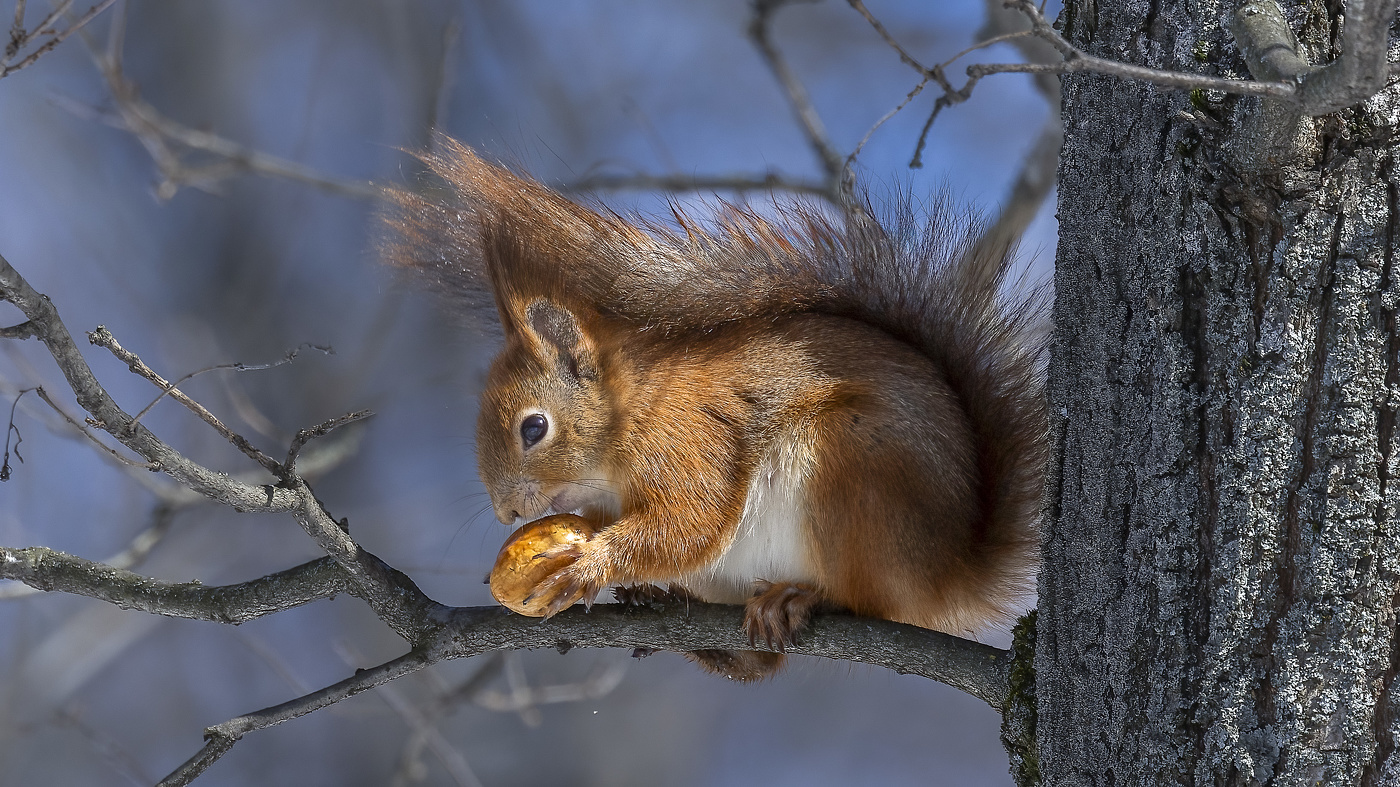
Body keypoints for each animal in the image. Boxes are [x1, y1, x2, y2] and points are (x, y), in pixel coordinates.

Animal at [382, 137, 1047, 681]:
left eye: (535, 427)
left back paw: (801, 597)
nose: (507, 512)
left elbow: (692, 521)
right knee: (760, 665)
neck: (629, 421)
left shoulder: (690, 438)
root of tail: (948, 571)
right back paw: (681, 617)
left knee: (869, 597)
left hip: (852, 467)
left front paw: (592, 562)